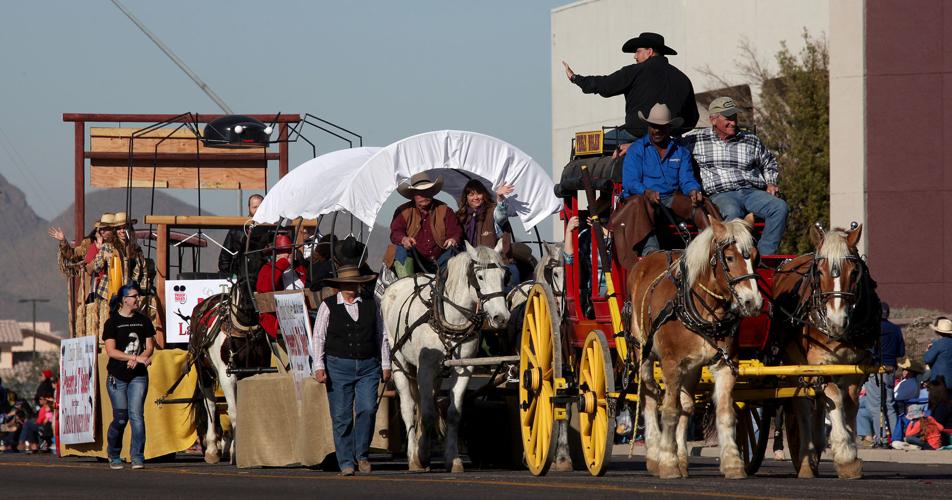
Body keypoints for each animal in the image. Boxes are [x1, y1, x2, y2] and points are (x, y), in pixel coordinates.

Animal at [382, 241, 512, 472]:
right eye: (479, 277)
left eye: (503, 276)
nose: (501, 317)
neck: (449, 318)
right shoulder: (424, 369)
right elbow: (427, 412)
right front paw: (421, 456)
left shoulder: (463, 369)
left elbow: (452, 413)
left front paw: (453, 458)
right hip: (400, 363)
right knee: (408, 407)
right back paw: (413, 456)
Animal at [632, 213, 768, 478]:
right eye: (729, 257)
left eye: (756, 258)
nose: (753, 302)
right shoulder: (671, 364)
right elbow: (670, 411)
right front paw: (668, 463)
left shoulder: (725, 364)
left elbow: (724, 413)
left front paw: (733, 463)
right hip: (642, 351)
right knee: (650, 396)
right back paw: (654, 456)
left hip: (693, 368)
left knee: (686, 405)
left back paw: (682, 459)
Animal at [768, 225, 880, 478]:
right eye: (819, 273)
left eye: (854, 273)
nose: (837, 322)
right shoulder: (819, 362)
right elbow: (834, 397)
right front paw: (844, 453)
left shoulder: (856, 365)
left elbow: (849, 402)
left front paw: (850, 455)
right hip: (794, 363)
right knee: (802, 403)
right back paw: (806, 458)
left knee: (817, 400)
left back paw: (816, 448)